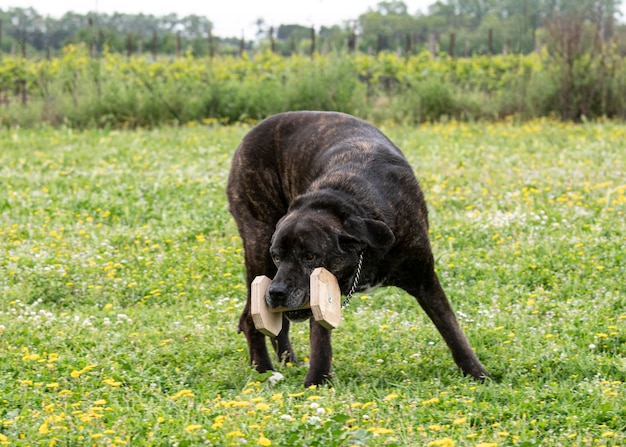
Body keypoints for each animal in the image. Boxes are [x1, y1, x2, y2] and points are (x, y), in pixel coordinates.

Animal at [227, 110, 490, 386]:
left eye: (310, 256)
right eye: (277, 256)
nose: (277, 292)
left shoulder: (424, 279)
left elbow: (451, 328)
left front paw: (477, 373)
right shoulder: (322, 290)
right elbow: (320, 339)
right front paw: (316, 381)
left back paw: (288, 363)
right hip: (259, 248)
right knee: (250, 318)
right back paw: (263, 370)